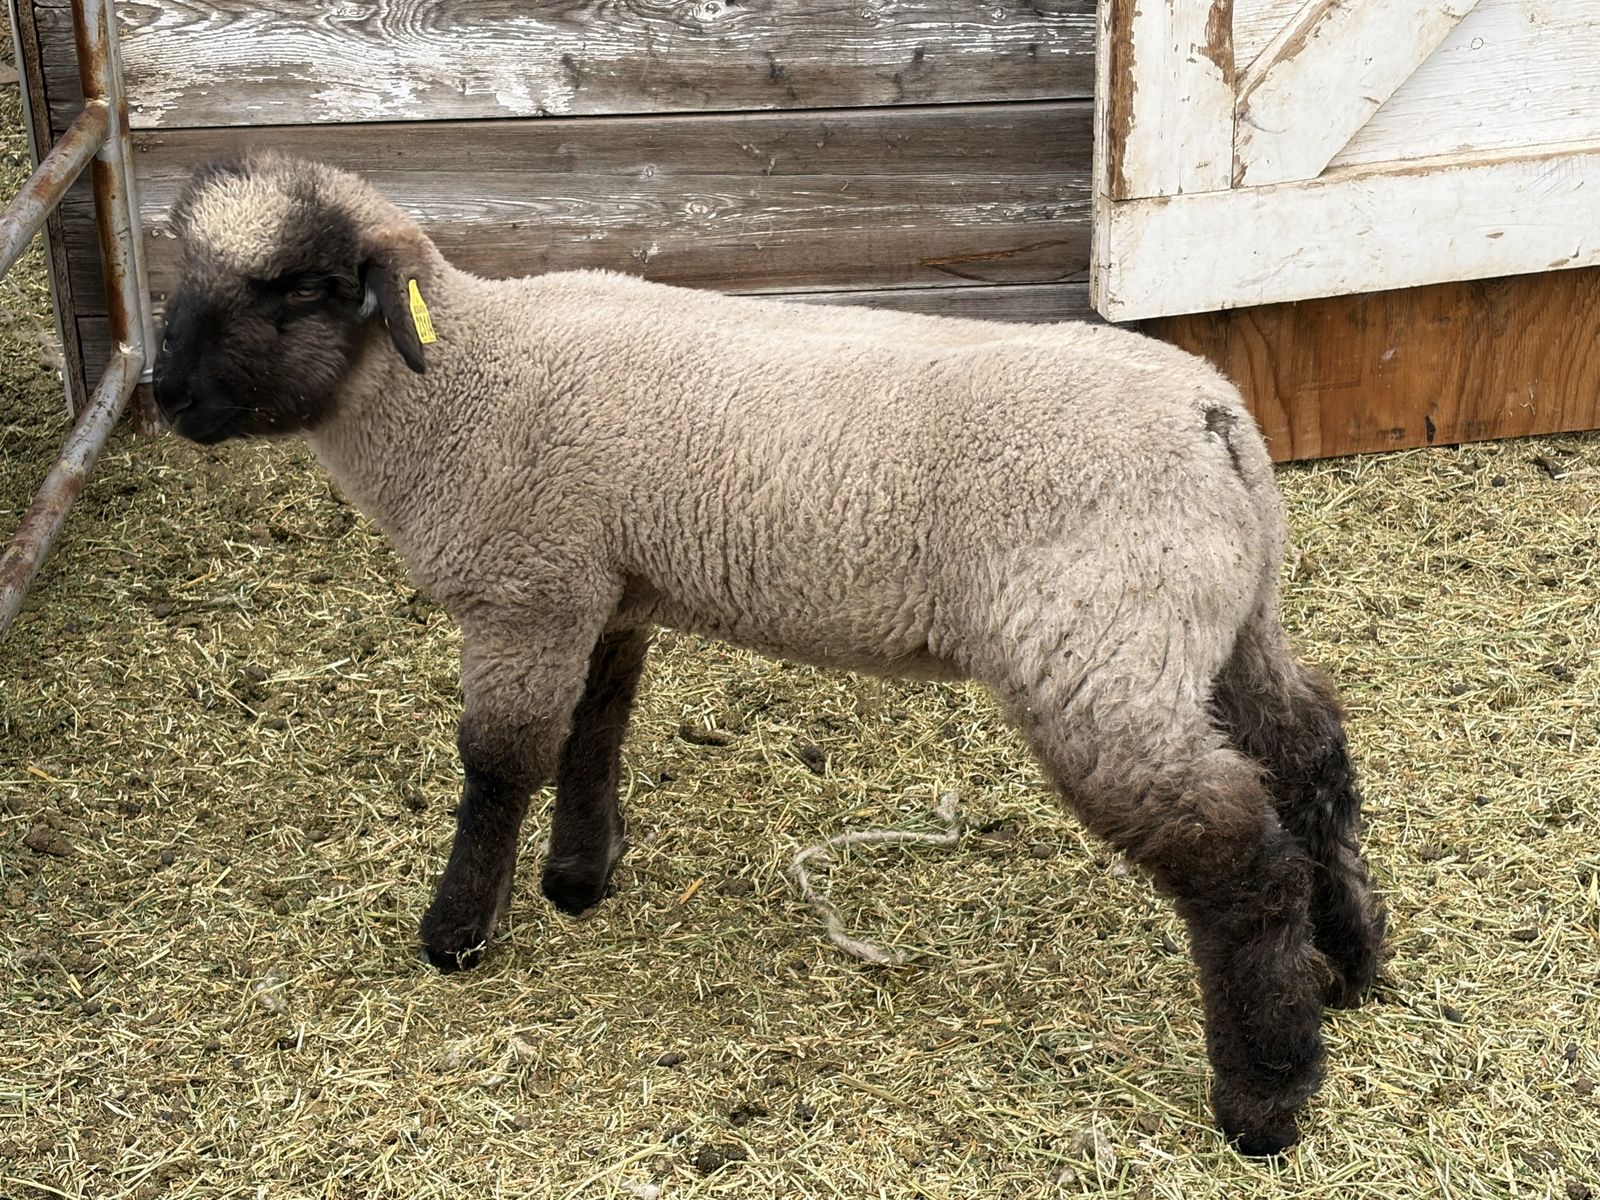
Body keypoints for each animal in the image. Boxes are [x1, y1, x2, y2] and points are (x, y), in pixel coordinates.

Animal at [151, 152, 1383, 1156]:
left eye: (294, 288)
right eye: (184, 277)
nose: (165, 397)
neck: (459, 381)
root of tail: (1213, 416)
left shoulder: (526, 593)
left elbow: (500, 764)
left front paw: (457, 931)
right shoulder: (605, 587)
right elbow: (597, 731)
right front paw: (578, 878)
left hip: (1095, 652)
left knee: (1236, 851)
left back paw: (1267, 1099)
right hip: (1222, 621)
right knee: (1309, 751)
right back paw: (1355, 968)